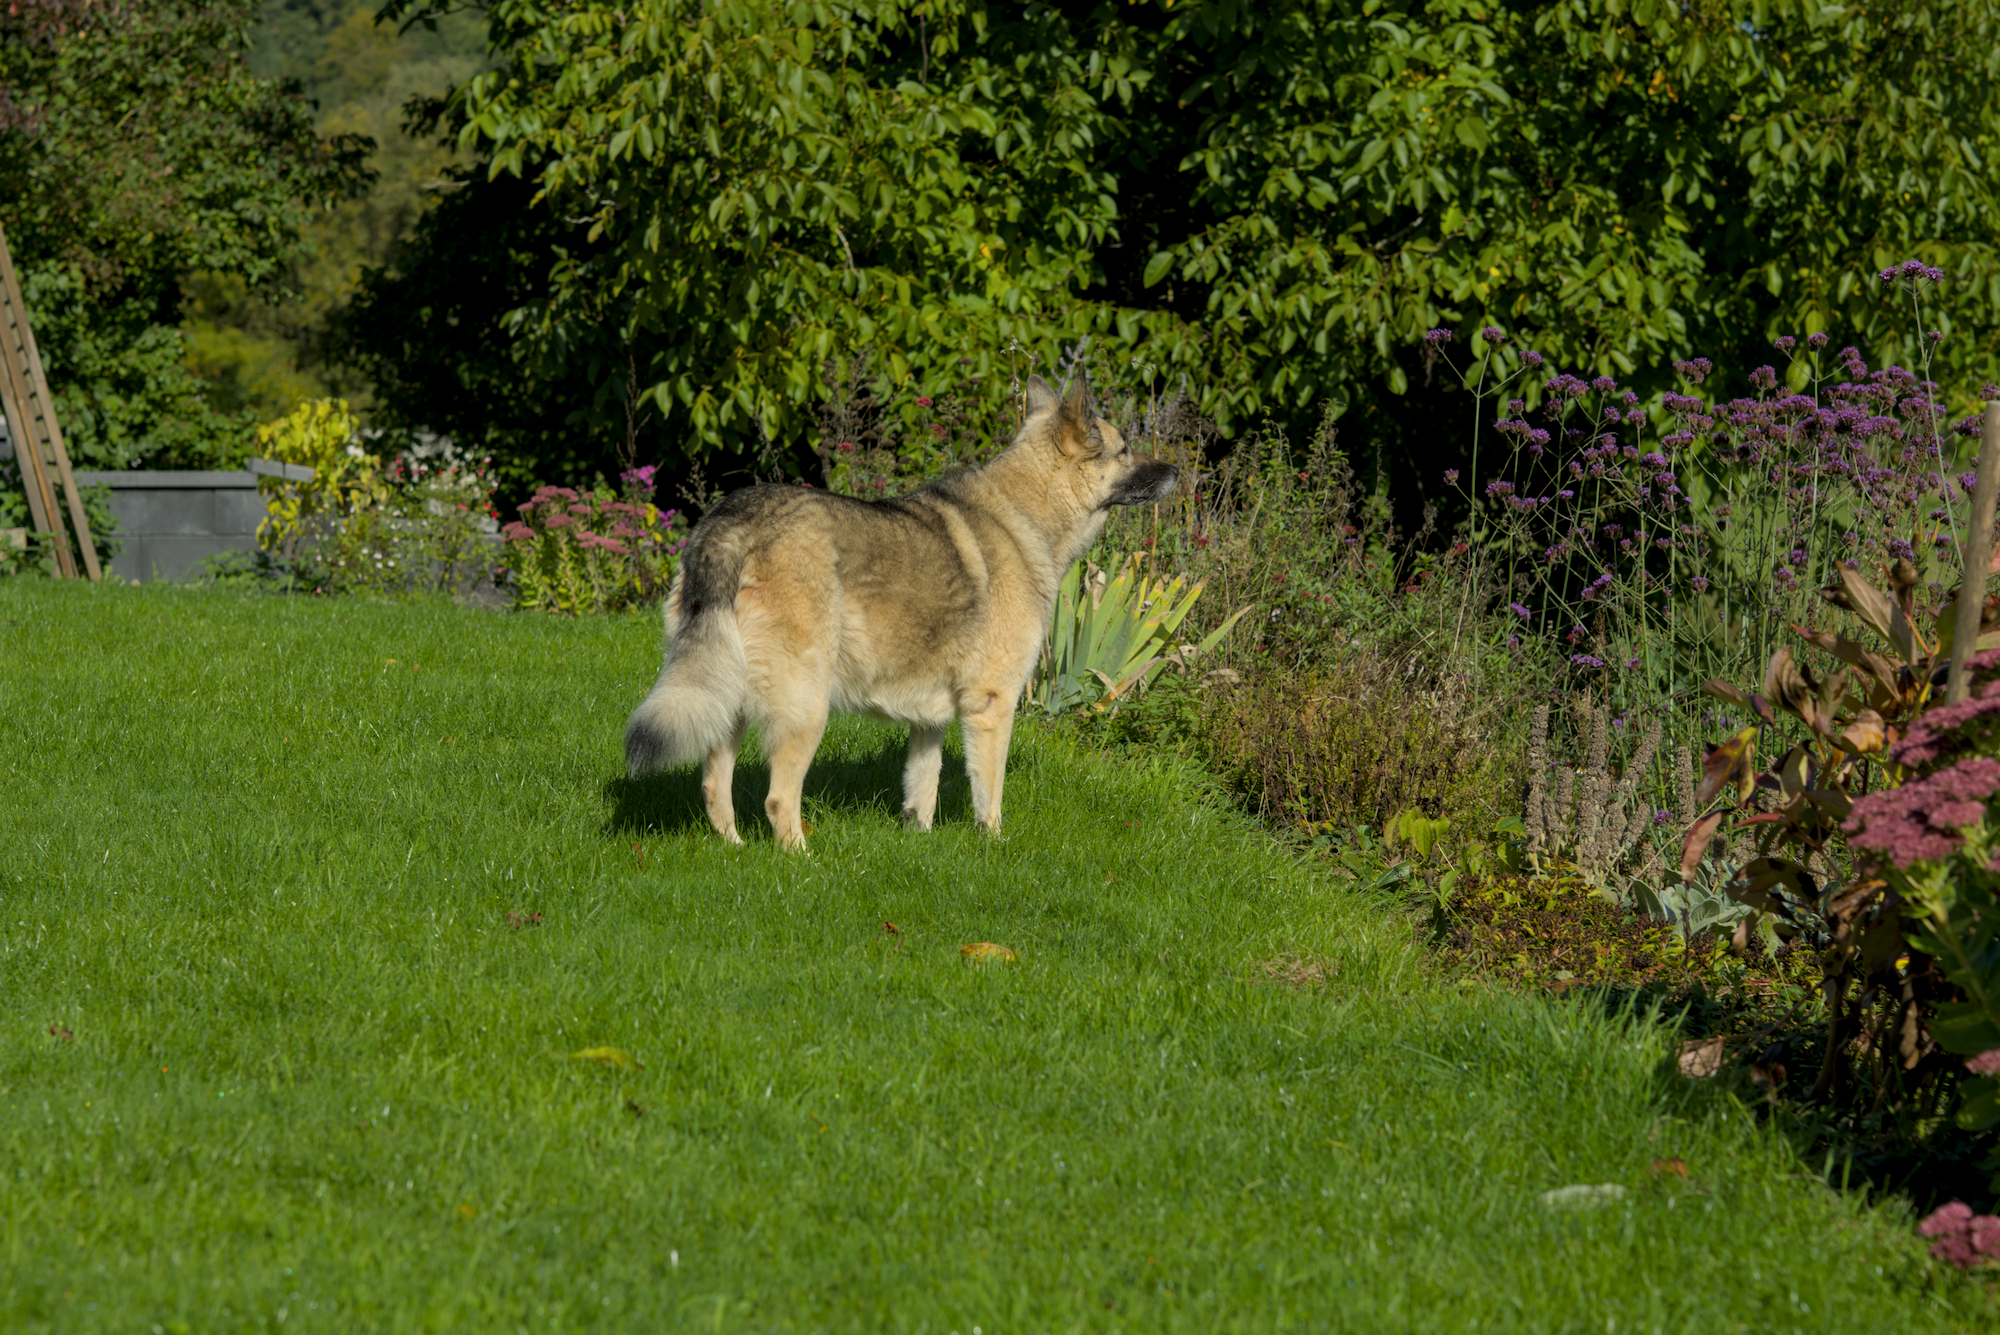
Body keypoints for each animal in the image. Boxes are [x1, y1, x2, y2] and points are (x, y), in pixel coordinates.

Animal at [624, 370, 1179, 850]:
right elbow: (989, 797)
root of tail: (729, 525)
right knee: (779, 799)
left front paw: (921, 843)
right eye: (1125, 449)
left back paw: (735, 850)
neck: (1027, 513)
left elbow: (922, 790)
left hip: (730, 698)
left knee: (715, 787)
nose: (1175, 470)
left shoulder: (929, 722)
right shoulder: (992, 707)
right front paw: (993, 846)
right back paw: (803, 859)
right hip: (805, 709)